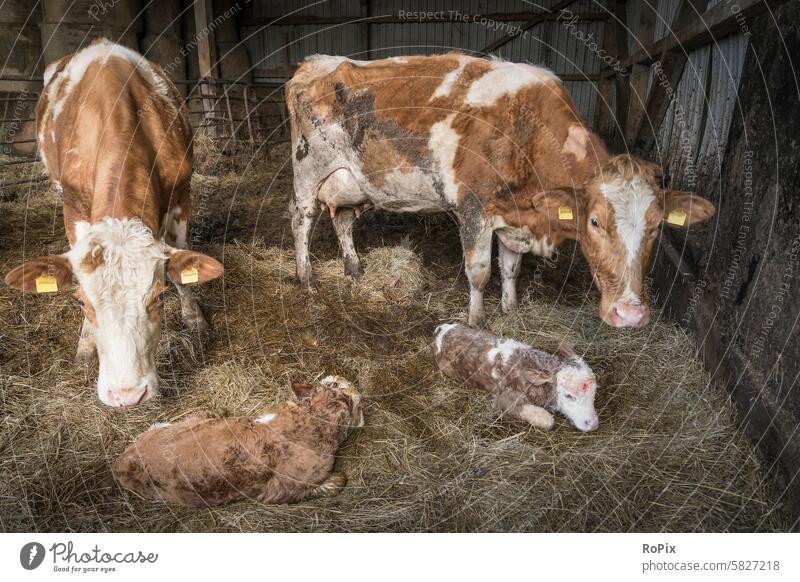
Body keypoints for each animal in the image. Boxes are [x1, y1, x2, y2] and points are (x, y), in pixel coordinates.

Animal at [3, 40, 222, 406]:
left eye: (159, 297)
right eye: (81, 301)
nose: (128, 395)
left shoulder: (181, 193)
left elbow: (182, 262)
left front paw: (196, 321)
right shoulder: (74, 206)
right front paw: (85, 344)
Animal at [286, 53, 712, 328]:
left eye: (656, 227)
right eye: (594, 221)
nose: (630, 315)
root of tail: (316, 63)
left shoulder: (516, 215)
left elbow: (510, 268)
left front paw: (510, 309)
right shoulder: (474, 209)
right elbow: (479, 273)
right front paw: (477, 321)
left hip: (349, 181)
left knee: (342, 220)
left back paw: (355, 268)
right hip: (308, 166)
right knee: (302, 219)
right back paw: (306, 278)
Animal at [432, 324, 600, 434]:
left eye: (594, 395)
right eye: (568, 396)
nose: (593, 424)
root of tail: (441, 330)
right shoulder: (505, 398)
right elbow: (547, 420)